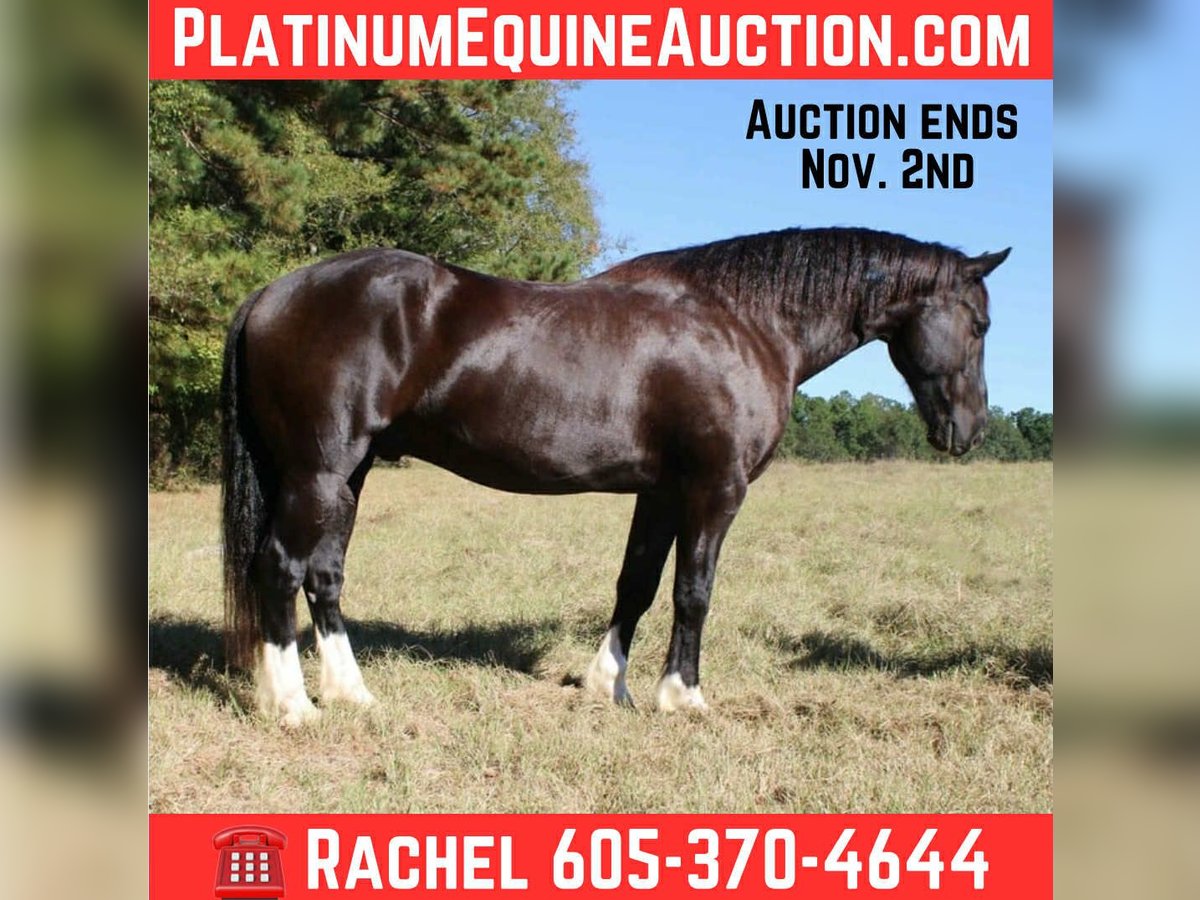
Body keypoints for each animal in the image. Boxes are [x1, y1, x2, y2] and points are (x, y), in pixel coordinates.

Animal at [220, 226, 1009, 726]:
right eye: (979, 325)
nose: (970, 430)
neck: (743, 322)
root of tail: (270, 294)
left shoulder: (659, 493)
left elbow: (637, 585)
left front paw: (610, 686)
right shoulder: (715, 490)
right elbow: (693, 592)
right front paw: (683, 697)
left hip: (348, 474)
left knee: (324, 575)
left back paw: (351, 694)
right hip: (319, 473)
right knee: (280, 568)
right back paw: (294, 707)